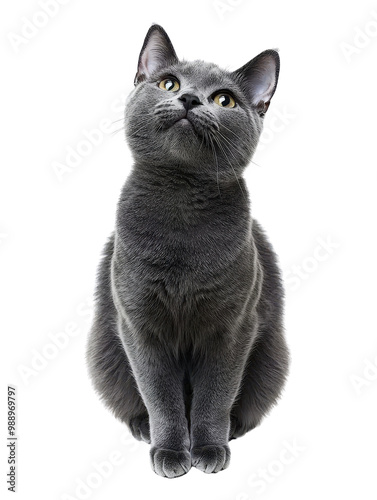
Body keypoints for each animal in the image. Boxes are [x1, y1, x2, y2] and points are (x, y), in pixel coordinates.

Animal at [86, 25, 290, 478]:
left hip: (273, 355)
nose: (191, 99)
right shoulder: (138, 325)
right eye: (169, 84)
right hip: (104, 349)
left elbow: (215, 394)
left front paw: (209, 448)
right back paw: (144, 428)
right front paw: (170, 451)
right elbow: (160, 395)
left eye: (224, 99)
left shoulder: (233, 327)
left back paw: (231, 430)